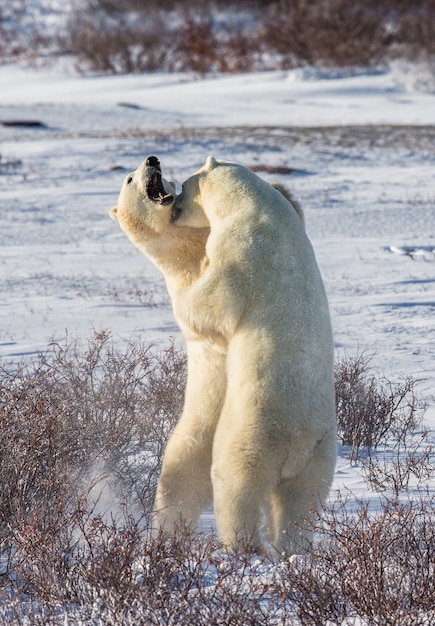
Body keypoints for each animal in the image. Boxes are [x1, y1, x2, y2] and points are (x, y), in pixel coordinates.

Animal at [112, 154, 338, 552]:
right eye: (129, 179)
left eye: (182, 186)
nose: (152, 159)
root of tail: (296, 444)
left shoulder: (243, 243)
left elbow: (216, 300)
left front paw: (185, 303)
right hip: (318, 455)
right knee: (297, 504)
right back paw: (287, 547)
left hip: (250, 430)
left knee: (234, 484)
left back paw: (242, 547)